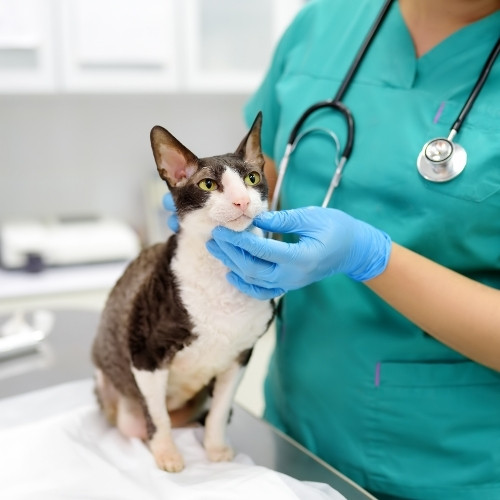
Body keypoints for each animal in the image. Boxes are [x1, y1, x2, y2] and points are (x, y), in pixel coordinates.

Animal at [92, 112, 276, 472]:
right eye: (208, 185)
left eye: (252, 178)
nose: (243, 200)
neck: (220, 274)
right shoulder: (145, 354)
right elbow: (158, 417)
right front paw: (167, 453)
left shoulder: (240, 357)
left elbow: (219, 411)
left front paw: (215, 448)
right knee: (143, 420)